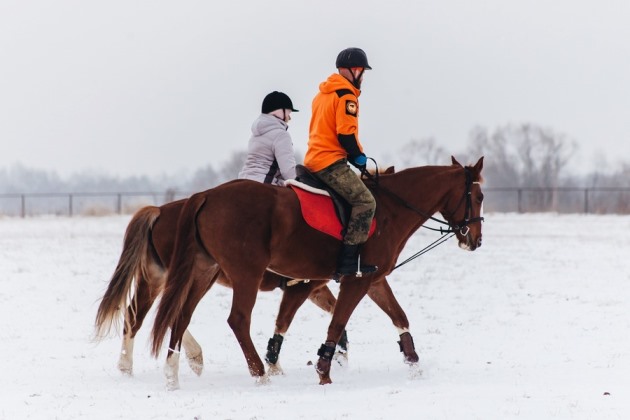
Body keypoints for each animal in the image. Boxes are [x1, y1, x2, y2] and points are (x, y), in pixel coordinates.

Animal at [94, 199, 348, 376]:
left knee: (139, 315)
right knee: (163, 314)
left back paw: (128, 366)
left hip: (157, 278)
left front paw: (341, 353)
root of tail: (159, 211)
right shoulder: (301, 288)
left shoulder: (315, 290)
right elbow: (286, 321)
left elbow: (334, 310)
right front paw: (275, 367)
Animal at [151, 157, 486, 388]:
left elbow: (399, 317)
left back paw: (173, 373)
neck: (389, 209)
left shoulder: (372, 280)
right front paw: (323, 372)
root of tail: (206, 195)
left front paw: (414, 365)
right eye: (479, 196)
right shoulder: (353, 281)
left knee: (181, 314)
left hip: (203, 272)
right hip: (246, 274)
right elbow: (337, 323)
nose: (475, 240)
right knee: (238, 320)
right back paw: (259, 375)